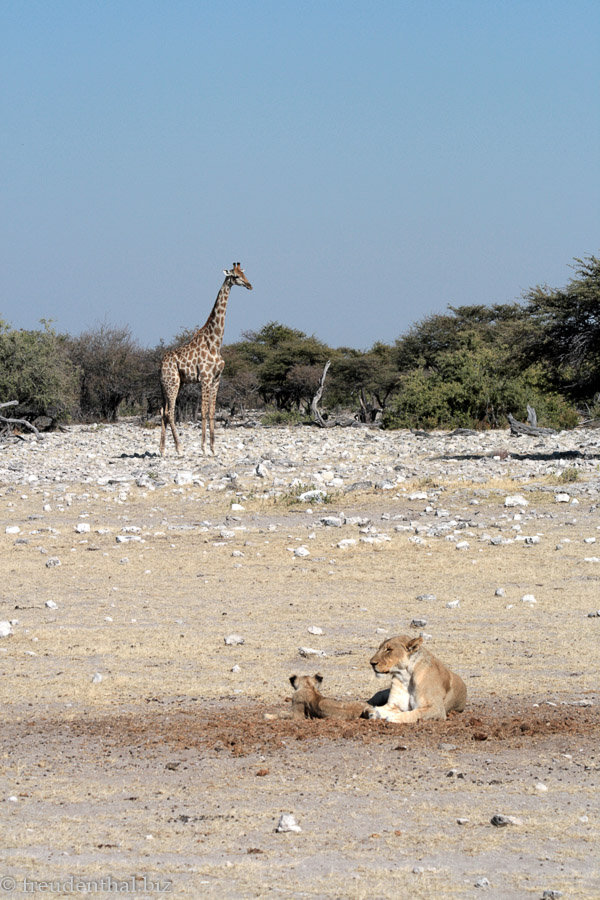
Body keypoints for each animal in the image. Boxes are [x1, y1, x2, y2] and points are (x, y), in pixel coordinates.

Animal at [159, 262, 253, 456]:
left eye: (244, 274)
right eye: (236, 276)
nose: (250, 285)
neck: (215, 342)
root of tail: (160, 365)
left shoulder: (216, 378)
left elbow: (211, 412)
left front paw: (213, 447)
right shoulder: (205, 378)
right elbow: (202, 411)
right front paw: (203, 447)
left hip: (167, 385)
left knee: (163, 410)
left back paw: (162, 450)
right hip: (173, 384)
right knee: (170, 413)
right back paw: (179, 448)